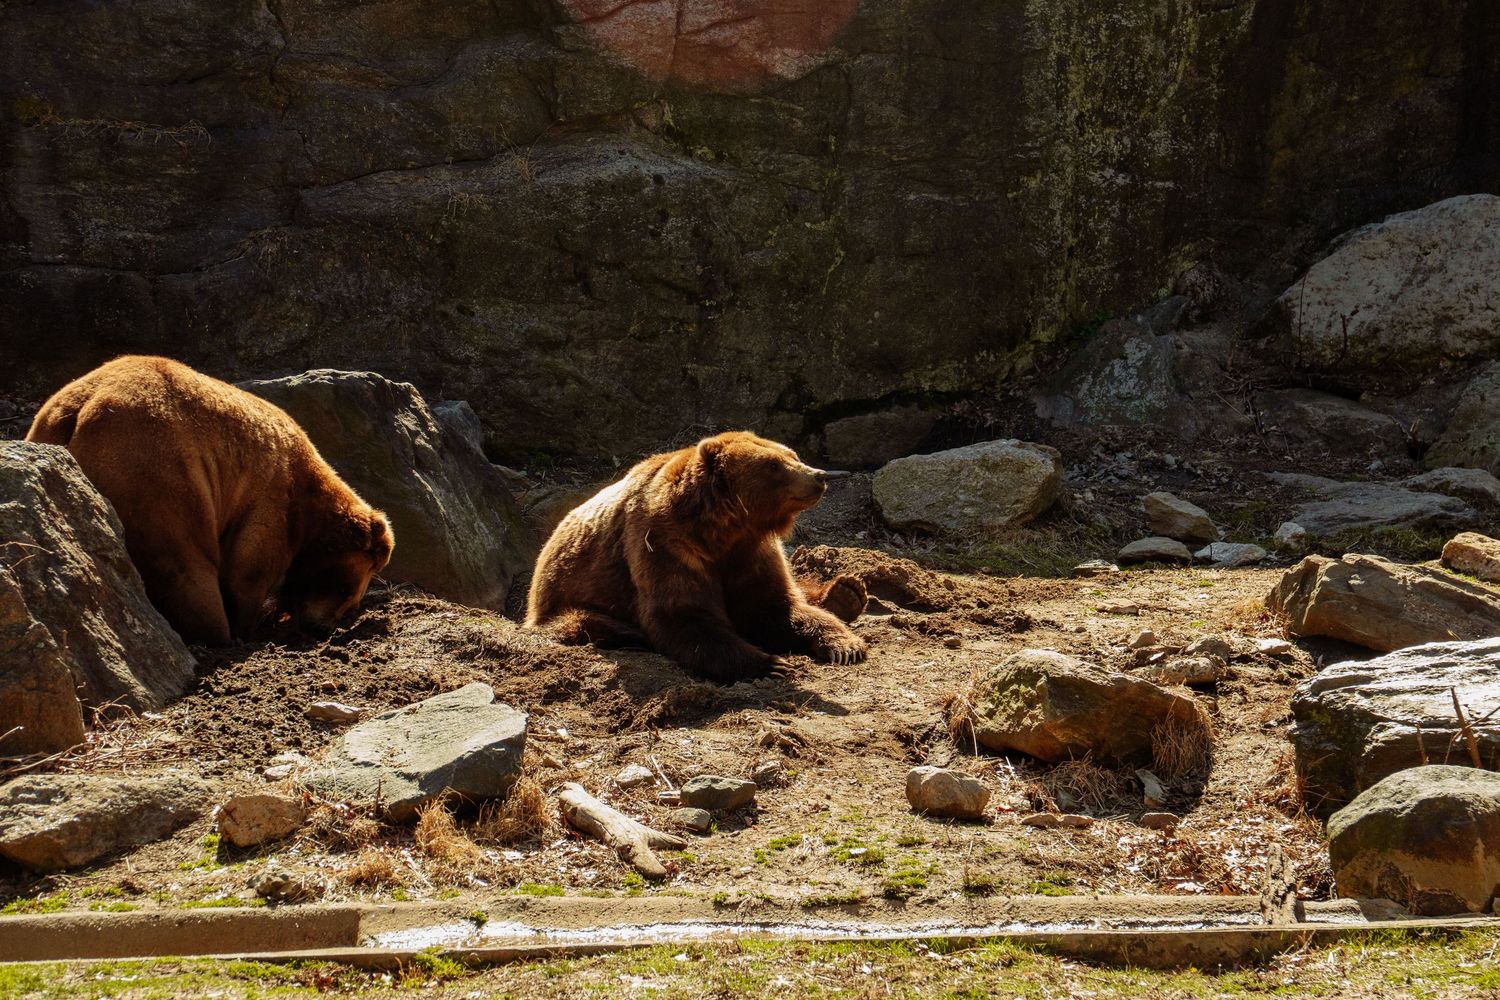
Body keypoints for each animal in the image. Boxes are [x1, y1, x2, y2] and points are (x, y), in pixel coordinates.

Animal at [26, 355, 393, 645]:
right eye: (349, 590)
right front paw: (247, 626)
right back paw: (214, 632)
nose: (321, 628)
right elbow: (248, 569)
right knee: (183, 562)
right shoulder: (271, 496)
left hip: (48, 432)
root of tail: (79, 409)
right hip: (155, 470)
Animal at [526, 430, 868, 682]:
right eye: (772, 465)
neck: (723, 531)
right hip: (565, 599)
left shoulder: (752, 552)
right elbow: (685, 615)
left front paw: (846, 646)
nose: (819, 475)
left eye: (792, 455)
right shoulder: (665, 545)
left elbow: (775, 606)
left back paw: (847, 592)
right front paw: (771, 664)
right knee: (585, 622)